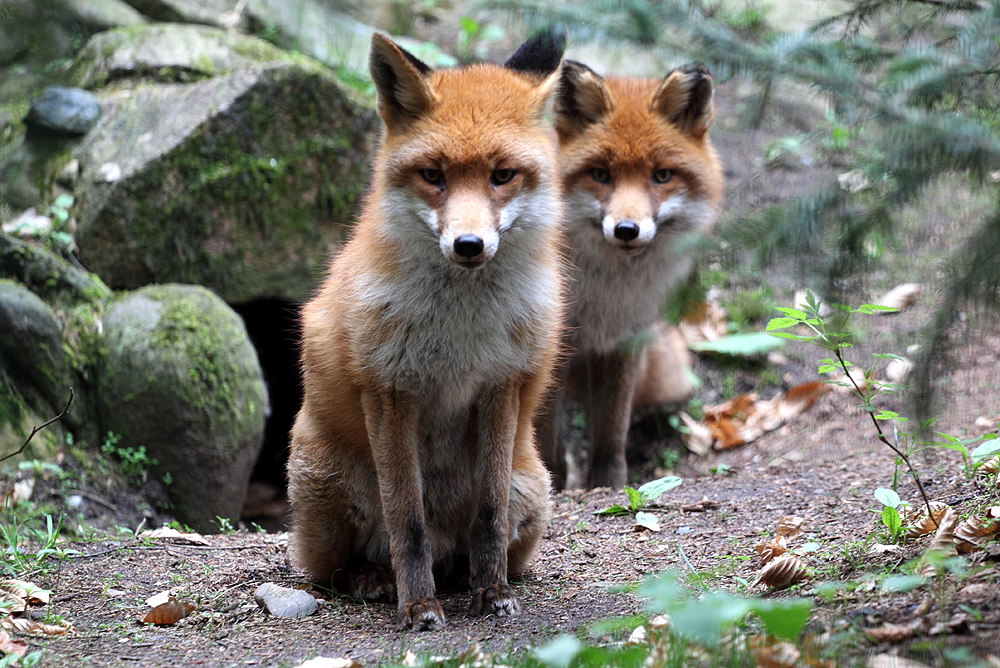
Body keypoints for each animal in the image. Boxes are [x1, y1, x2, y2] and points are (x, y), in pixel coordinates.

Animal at [286, 32, 568, 632]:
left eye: (502, 175)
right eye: (433, 175)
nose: (469, 245)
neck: (460, 331)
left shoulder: (501, 385)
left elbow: (488, 515)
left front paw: (492, 592)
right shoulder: (390, 391)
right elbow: (406, 522)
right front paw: (417, 605)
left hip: (532, 487)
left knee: (475, 540)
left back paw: (463, 577)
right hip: (324, 480)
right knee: (332, 569)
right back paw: (374, 579)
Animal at [540, 61, 728, 490]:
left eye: (661, 176)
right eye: (600, 174)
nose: (627, 230)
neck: (605, 296)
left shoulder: (627, 341)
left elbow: (612, 426)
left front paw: (608, 483)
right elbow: (543, 433)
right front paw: (553, 481)